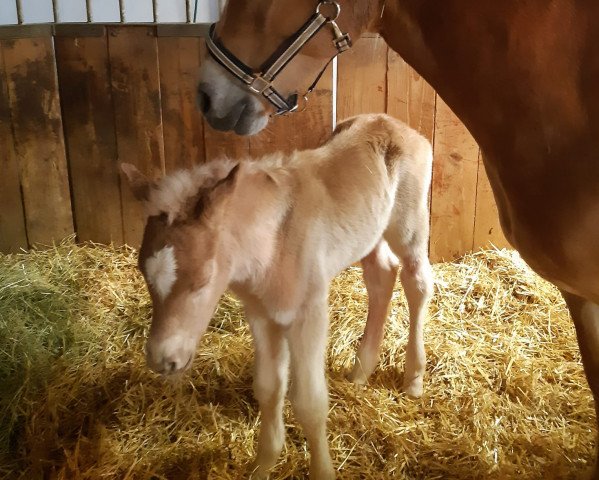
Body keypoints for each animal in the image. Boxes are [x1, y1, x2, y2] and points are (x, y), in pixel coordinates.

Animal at [199, 0, 599, 476]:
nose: (208, 97)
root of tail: (395, 125)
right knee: (382, 274)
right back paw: (362, 369)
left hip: (409, 225)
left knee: (416, 279)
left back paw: (413, 377)